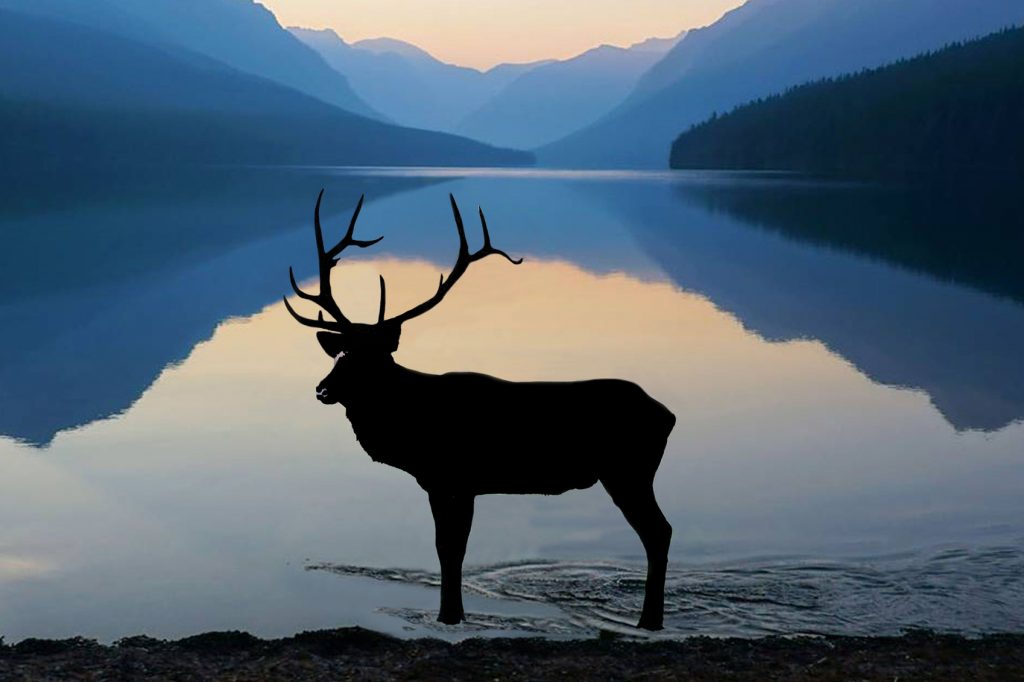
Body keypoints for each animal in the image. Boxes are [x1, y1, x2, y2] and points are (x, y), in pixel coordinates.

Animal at [283, 191, 676, 630]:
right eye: (342, 353)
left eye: (372, 358)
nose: (323, 389)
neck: (410, 429)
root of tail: (668, 415)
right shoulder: (442, 482)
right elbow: (446, 548)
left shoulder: (457, 477)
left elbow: (451, 550)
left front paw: (450, 617)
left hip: (628, 471)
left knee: (659, 532)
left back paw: (649, 621)